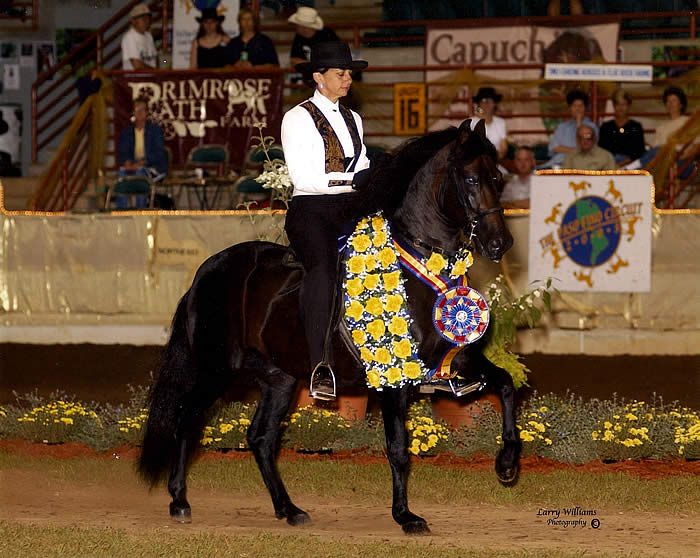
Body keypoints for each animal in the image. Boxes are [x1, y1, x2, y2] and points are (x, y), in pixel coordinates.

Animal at [138, 118, 520, 535]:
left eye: (498, 178)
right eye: (470, 179)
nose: (500, 244)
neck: (418, 262)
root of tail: (206, 271)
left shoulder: (458, 360)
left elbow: (506, 385)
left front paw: (507, 464)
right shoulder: (393, 378)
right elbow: (398, 449)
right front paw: (406, 516)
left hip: (279, 378)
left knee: (260, 438)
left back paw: (289, 509)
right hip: (216, 369)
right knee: (187, 421)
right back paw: (179, 501)